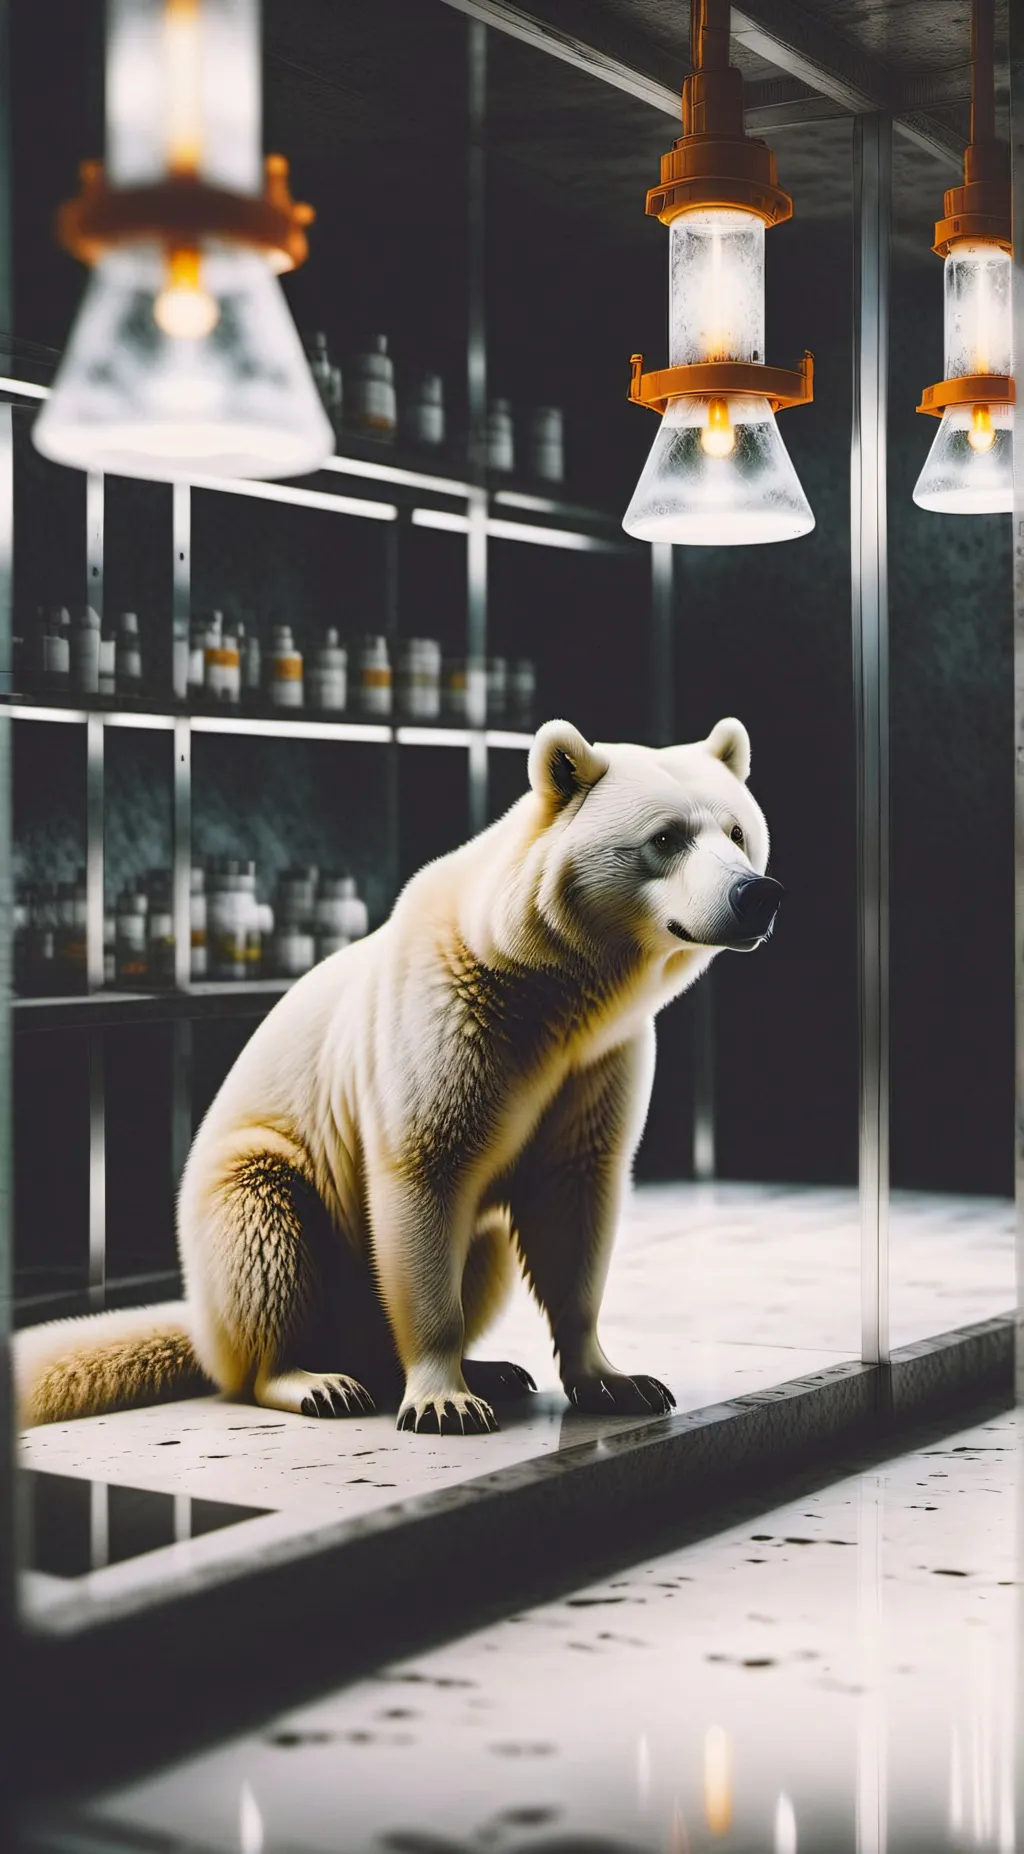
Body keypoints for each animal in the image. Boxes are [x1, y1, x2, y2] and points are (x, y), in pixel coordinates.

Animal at [15, 716, 782, 1437]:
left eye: (738, 831)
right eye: (666, 838)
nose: (757, 894)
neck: (546, 987)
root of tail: (202, 1328)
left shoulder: (597, 1061)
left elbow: (575, 1200)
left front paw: (619, 1382)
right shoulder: (447, 1023)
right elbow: (424, 1181)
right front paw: (445, 1401)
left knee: (486, 1255)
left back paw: (488, 1366)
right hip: (250, 1180)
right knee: (265, 1242)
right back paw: (314, 1378)